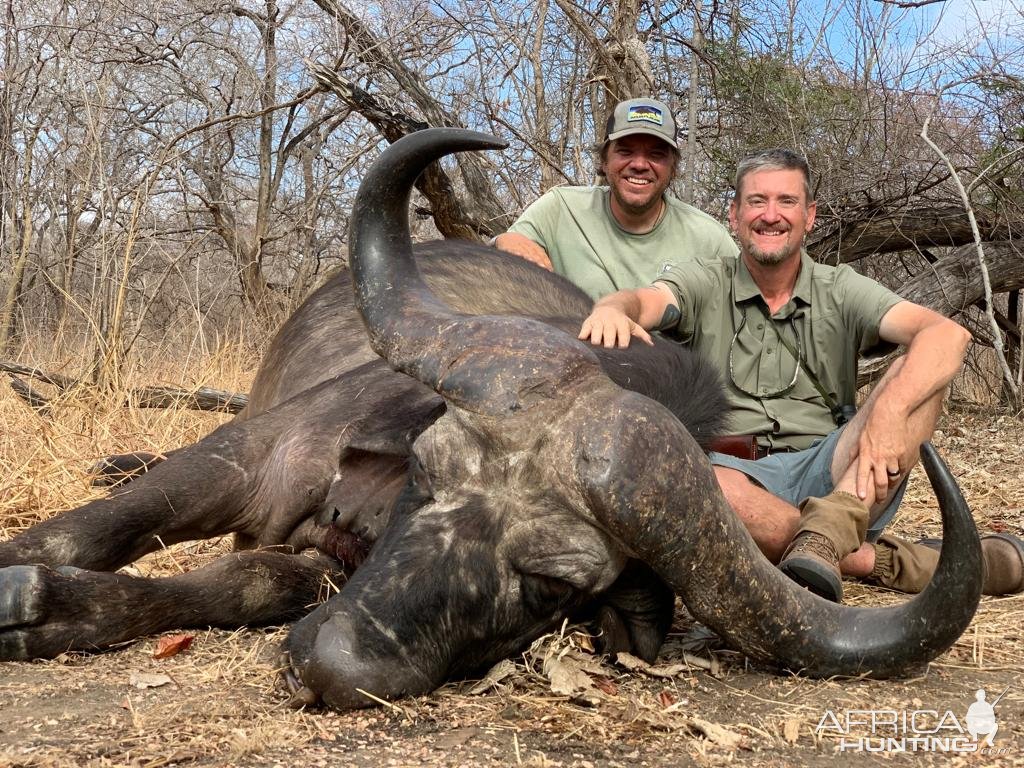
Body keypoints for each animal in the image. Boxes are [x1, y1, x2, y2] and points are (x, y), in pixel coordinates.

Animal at [0, 129, 983, 712]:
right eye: (426, 476)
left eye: (551, 587)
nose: (336, 662)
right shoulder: (245, 455)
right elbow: (92, 530)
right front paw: (25, 574)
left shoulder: (311, 564)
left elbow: (246, 583)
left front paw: (51, 612)